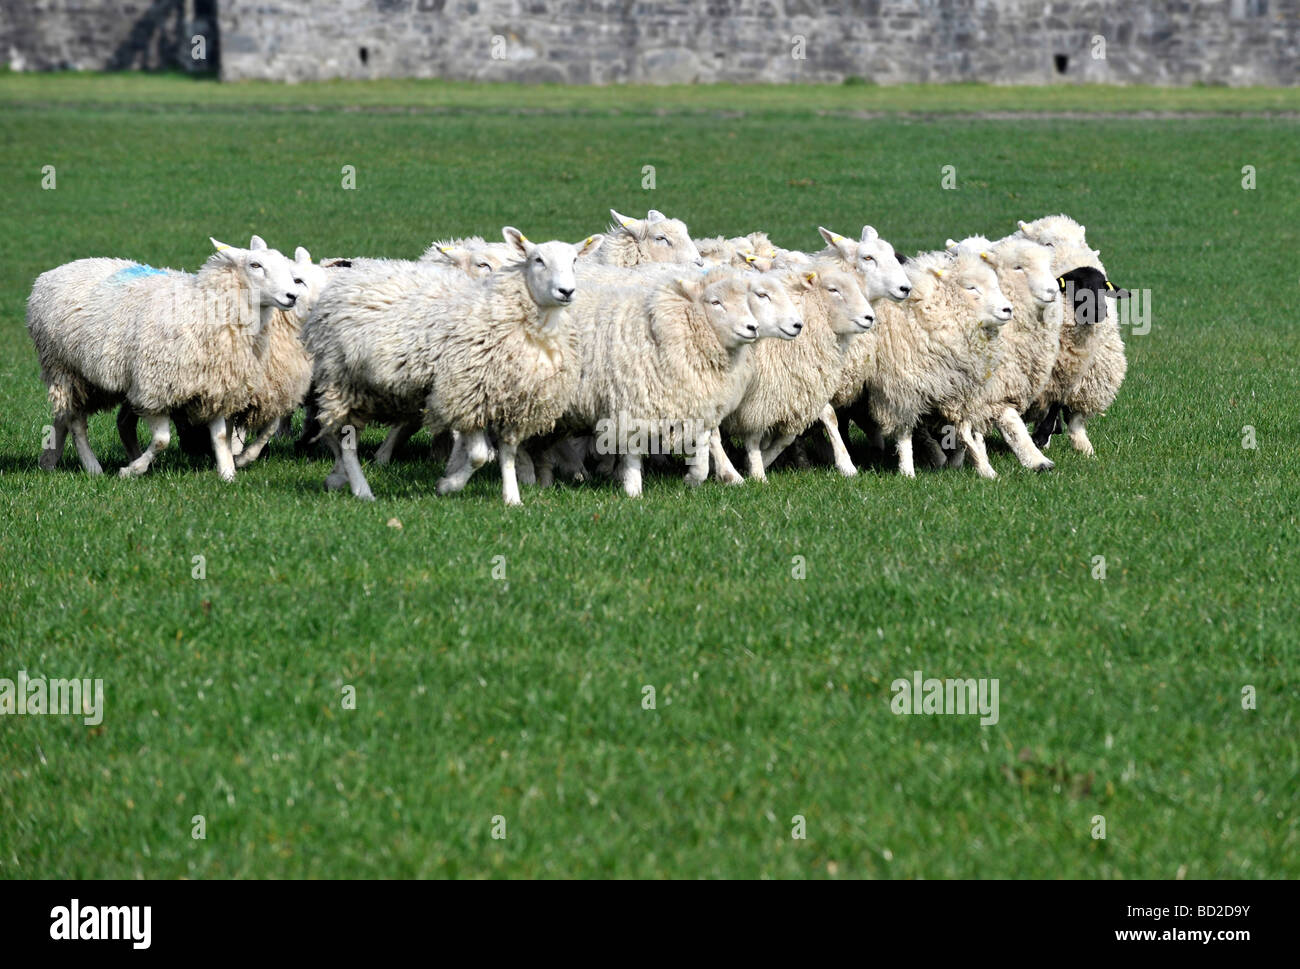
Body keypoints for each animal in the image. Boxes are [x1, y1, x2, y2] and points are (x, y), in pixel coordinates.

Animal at [31, 238, 306, 481]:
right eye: (255, 265)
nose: (292, 296)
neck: (206, 309)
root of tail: (49, 275)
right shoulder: (155, 390)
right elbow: (162, 440)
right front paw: (131, 471)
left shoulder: (214, 387)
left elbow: (219, 437)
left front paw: (228, 473)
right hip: (65, 369)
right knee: (76, 422)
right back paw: (92, 467)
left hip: (93, 380)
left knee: (64, 417)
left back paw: (49, 461)